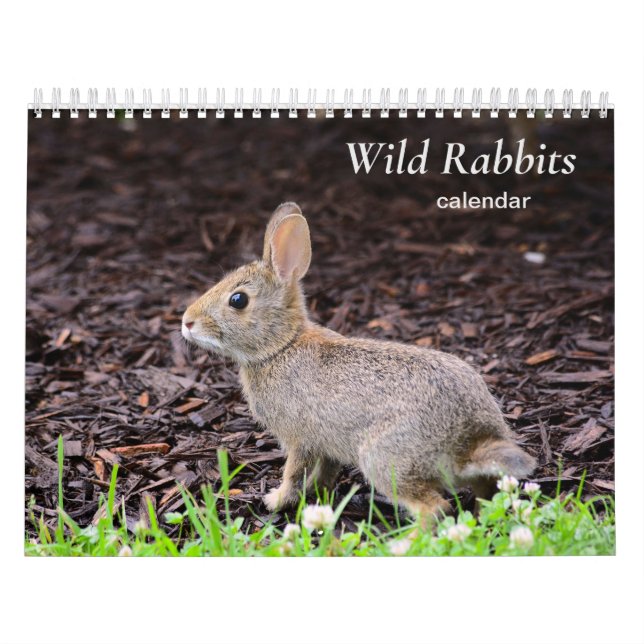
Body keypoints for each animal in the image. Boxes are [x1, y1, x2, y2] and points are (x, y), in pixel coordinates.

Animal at [182, 202, 536, 518]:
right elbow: (325, 471)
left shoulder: (299, 439)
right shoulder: (325, 444)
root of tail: (469, 442)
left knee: (434, 509)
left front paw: (275, 500)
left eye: (238, 300)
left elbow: (293, 472)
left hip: (385, 460)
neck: (280, 346)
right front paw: (316, 493)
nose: (186, 322)